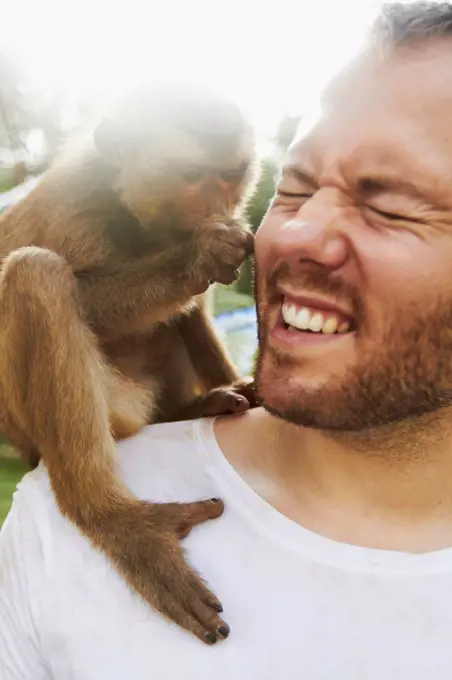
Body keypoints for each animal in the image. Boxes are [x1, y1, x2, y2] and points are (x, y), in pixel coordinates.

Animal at [0, 83, 258, 644]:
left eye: (230, 174)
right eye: (192, 176)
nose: (218, 206)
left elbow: (192, 308)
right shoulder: (78, 207)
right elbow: (90, 296)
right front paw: (197, 258)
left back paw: (191, 407)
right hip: (87, 414)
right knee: (36, 275)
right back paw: (114, 520)